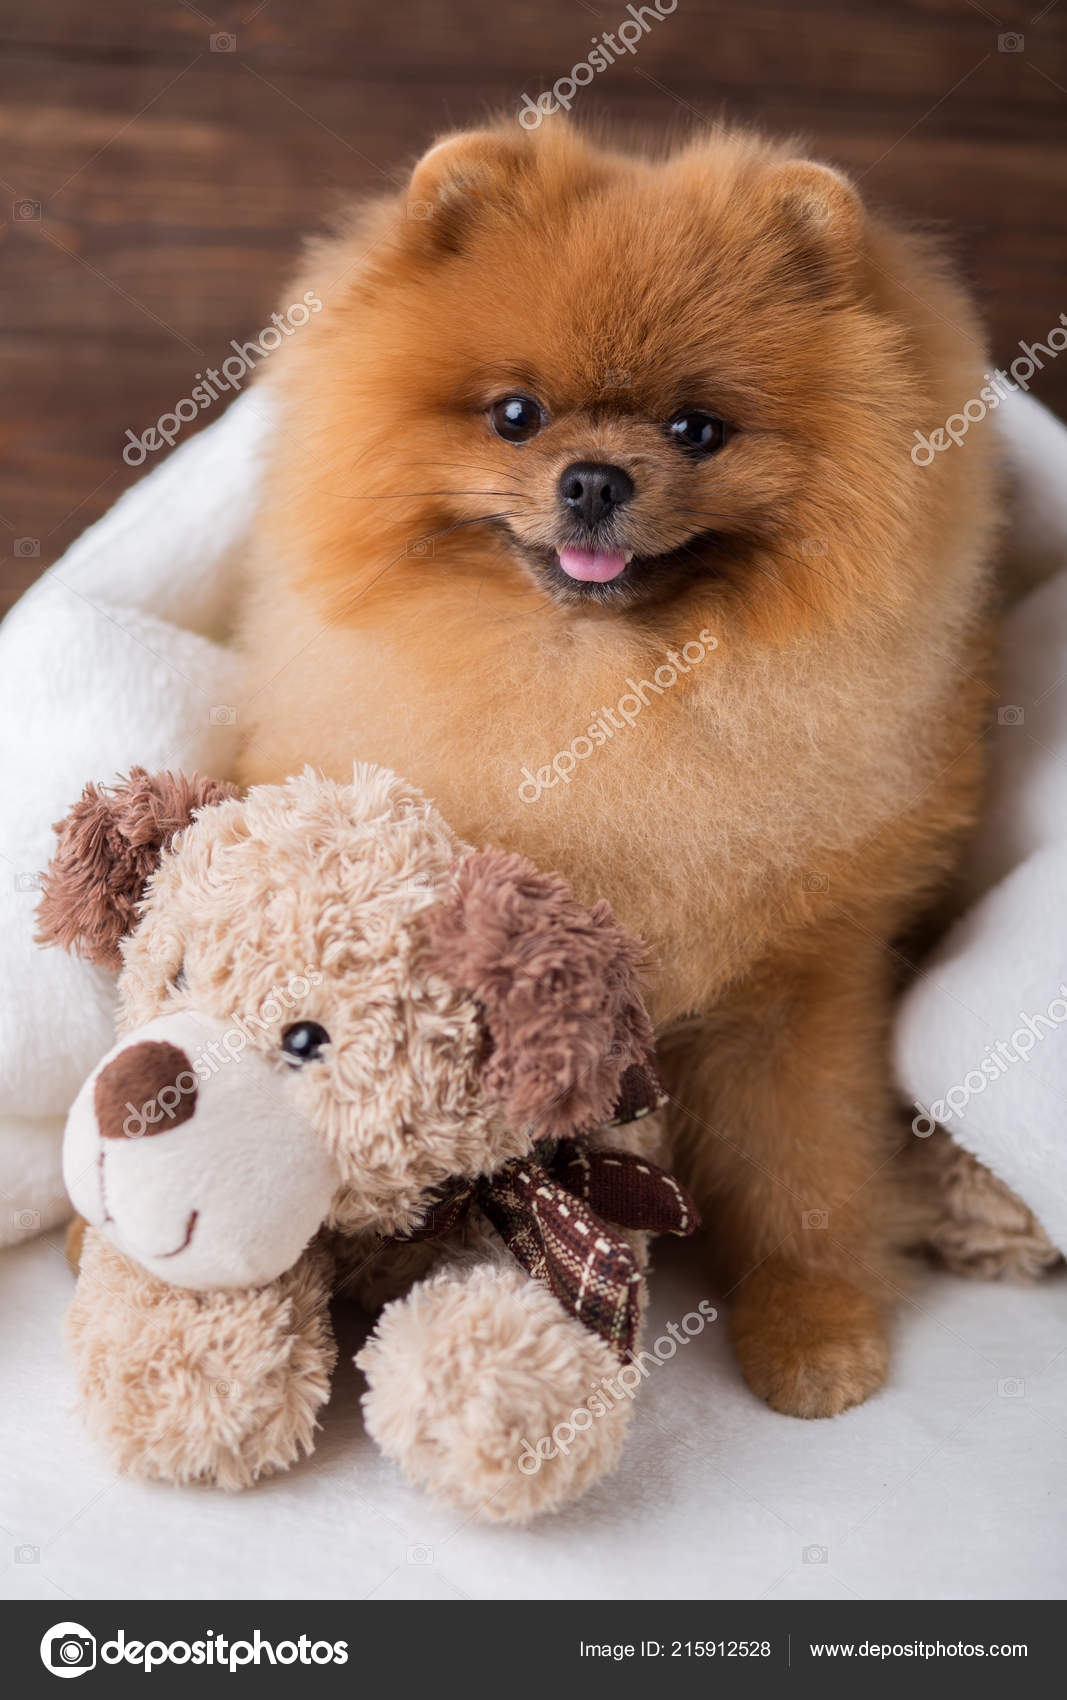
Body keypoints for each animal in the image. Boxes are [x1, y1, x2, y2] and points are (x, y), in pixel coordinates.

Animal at [241, 123, 999, 1421]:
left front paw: (813, 1322)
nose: (593, 475)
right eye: (514, 413)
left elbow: (803, 1167)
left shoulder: (796, 984)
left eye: (696, 428)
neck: (607, 697)